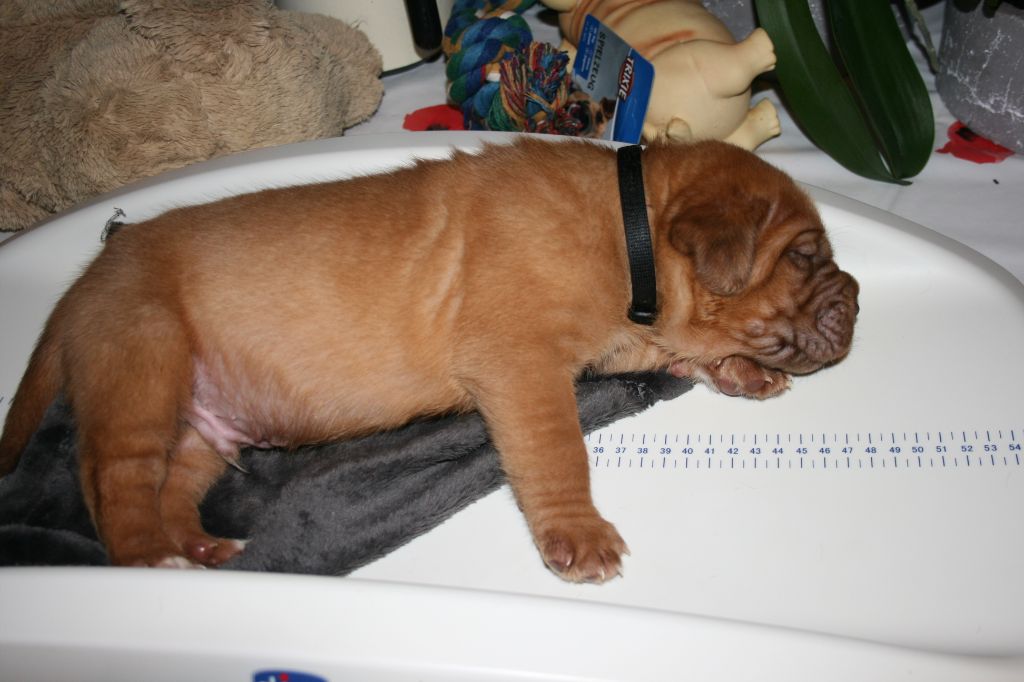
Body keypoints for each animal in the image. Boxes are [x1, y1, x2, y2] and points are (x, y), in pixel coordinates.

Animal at [0, 138, 858, 582]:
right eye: (805, 257)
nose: (854, 301)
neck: (632, 223)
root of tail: (86, 278)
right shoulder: (521, 365)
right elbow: (557, 452)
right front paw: (578, 536)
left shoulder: (619, 337)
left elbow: (669, 346)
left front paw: (739, 371)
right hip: (143, 363)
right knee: (115, 483)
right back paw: (150, 558)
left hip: (208, 423)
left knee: (175, 484)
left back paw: (201, 547)